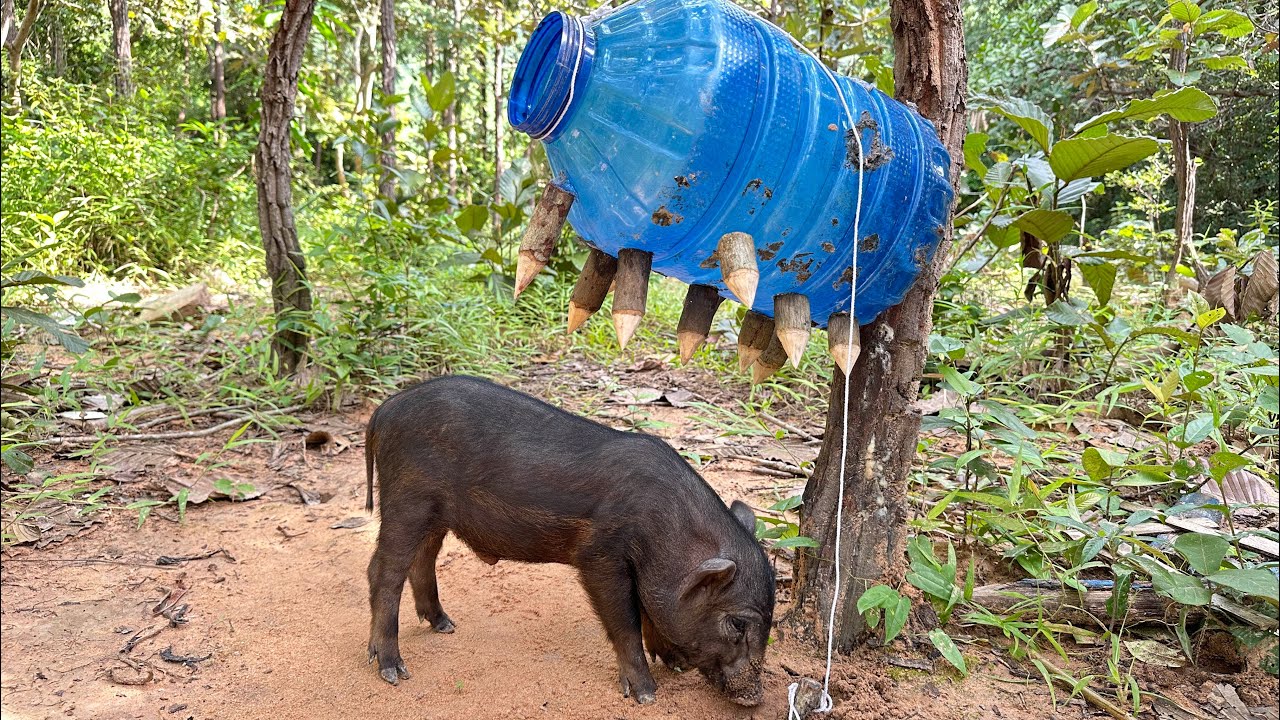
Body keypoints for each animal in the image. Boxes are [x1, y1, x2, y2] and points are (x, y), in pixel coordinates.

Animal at [363, 375, 775, 705]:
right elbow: (625, 619)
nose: (754, 699)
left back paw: (445, 625)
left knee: (422, 558)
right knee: (383, 570)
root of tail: (386, 408)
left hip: (433, 513)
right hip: (407, 497)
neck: (665, 532)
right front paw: (646, 695)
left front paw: (673, 666)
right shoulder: (599, 556)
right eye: (738, 624)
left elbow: (648, 612)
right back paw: (393, 671)